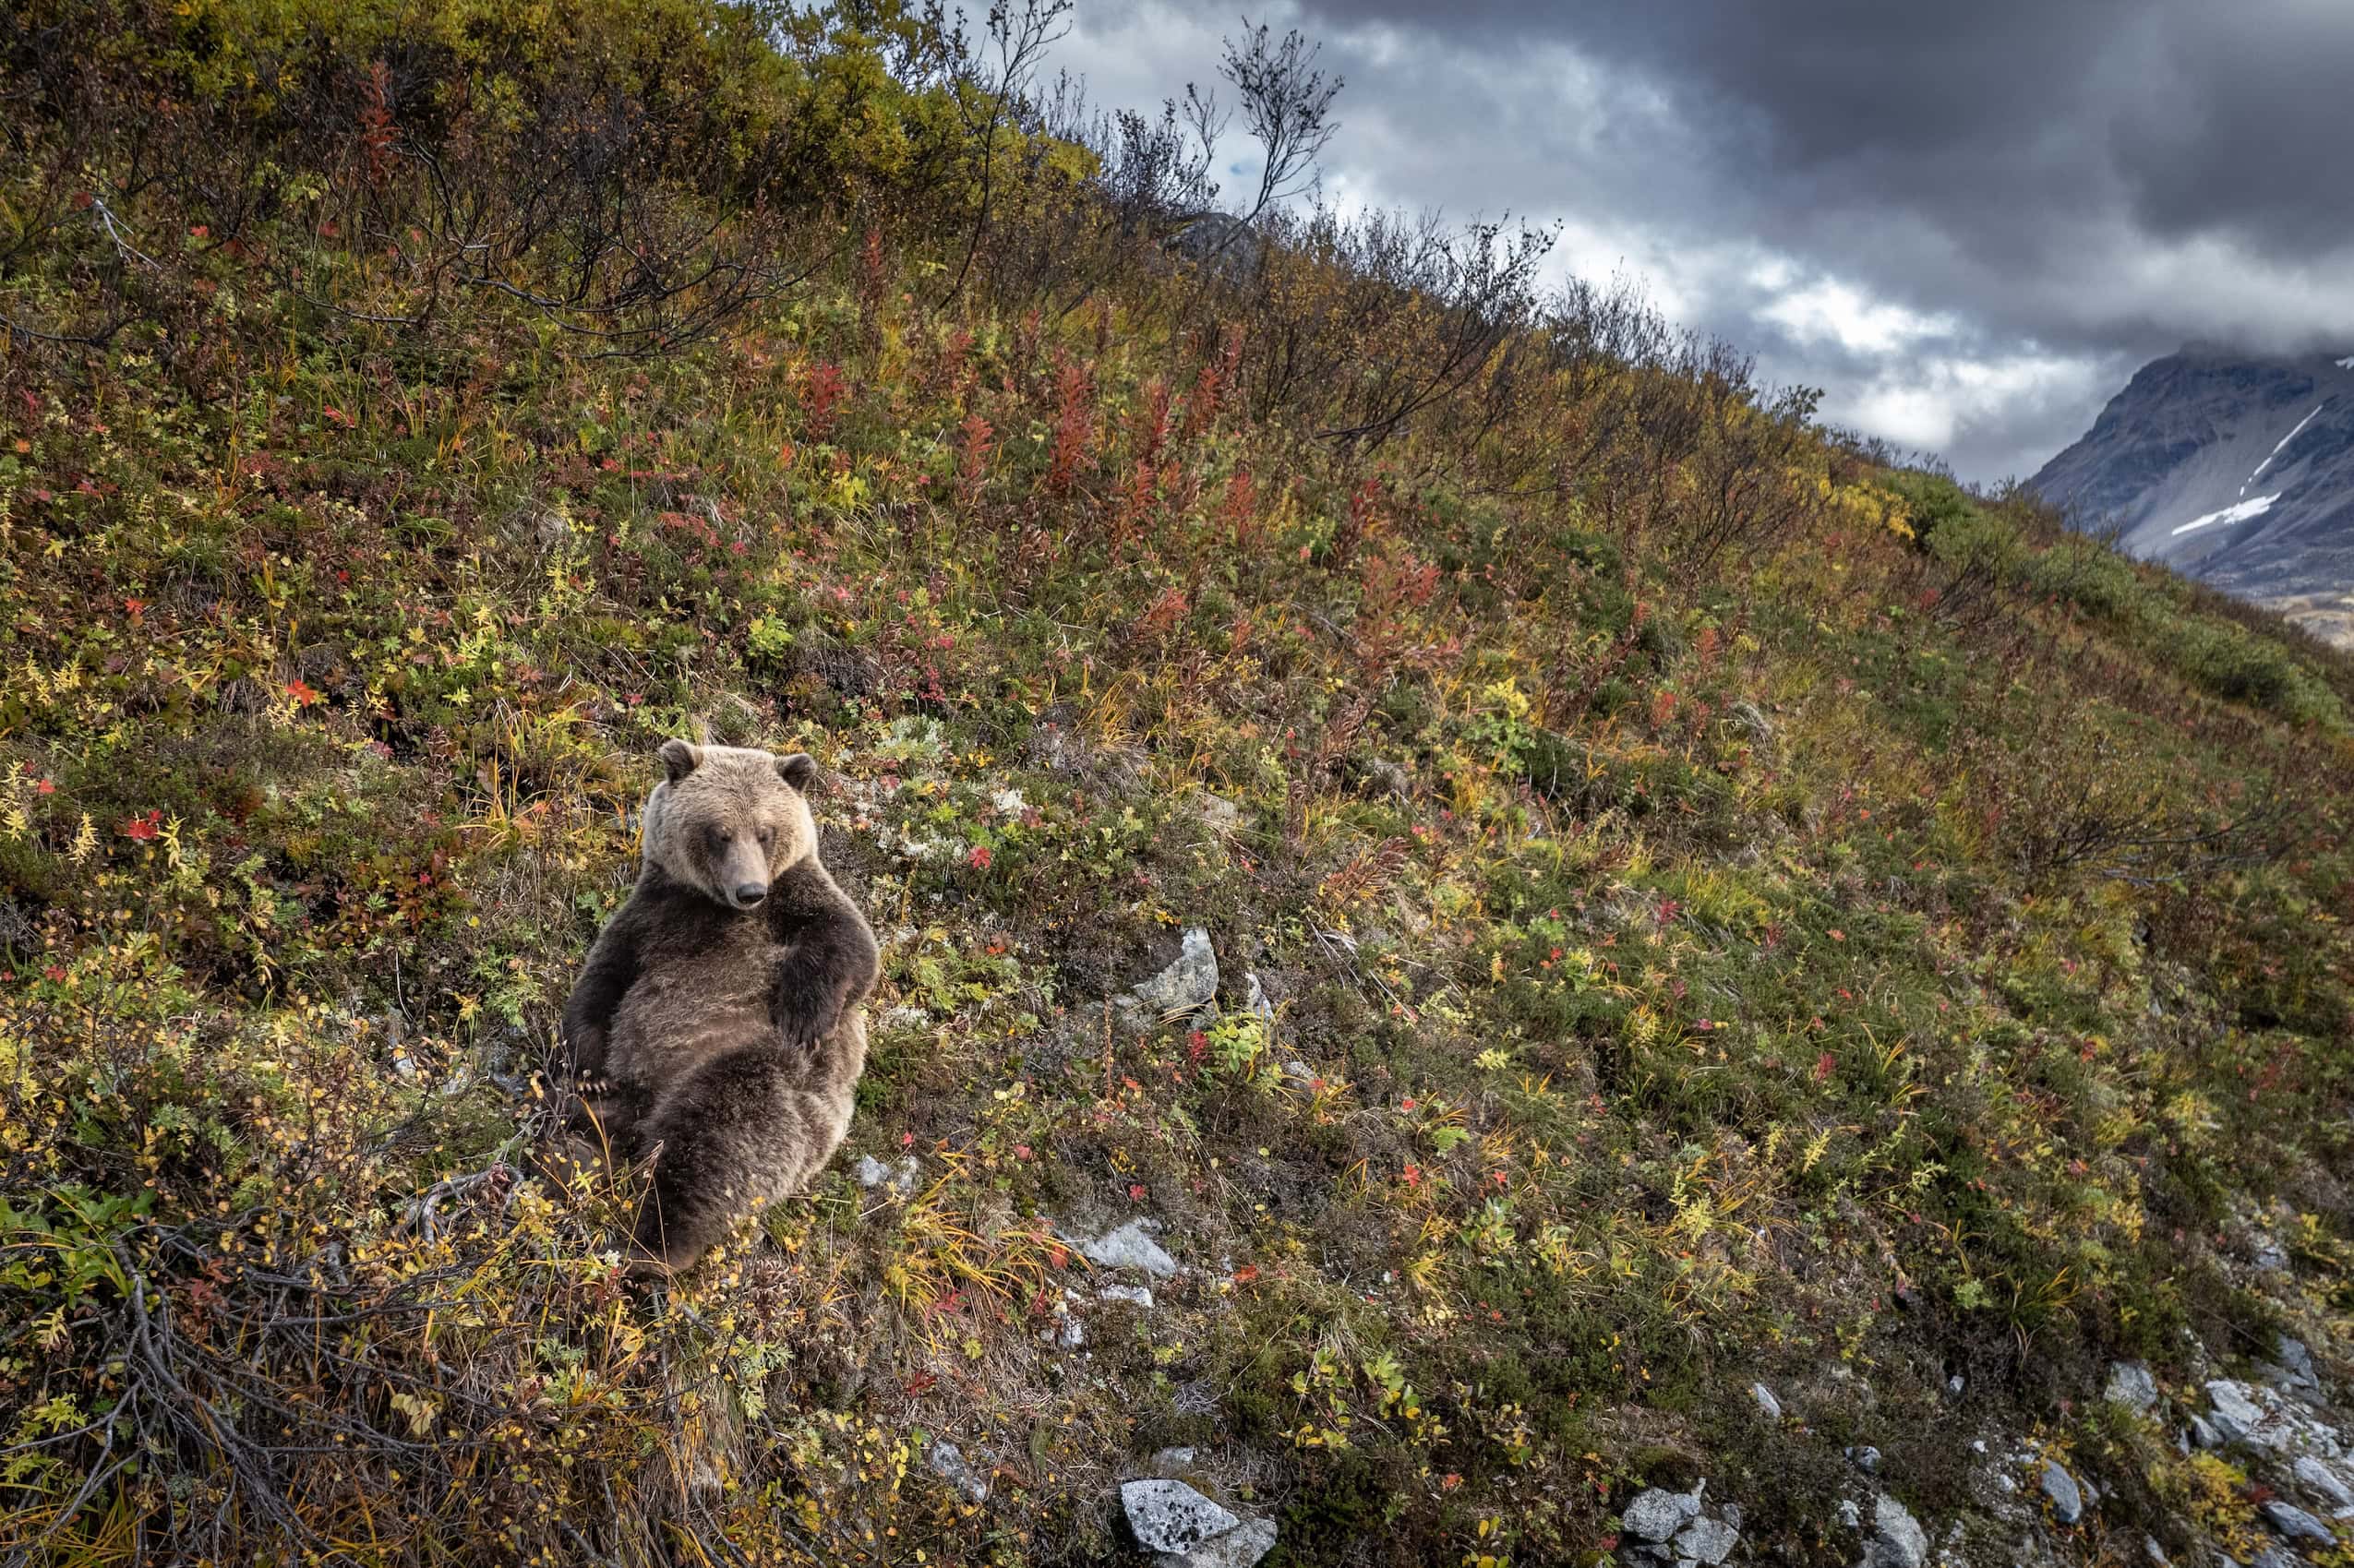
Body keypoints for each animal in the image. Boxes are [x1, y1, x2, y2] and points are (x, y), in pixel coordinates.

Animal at [557, 738, 879, 1271]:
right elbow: (601, 982)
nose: (749, 890)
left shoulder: (795, 896)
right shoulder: (653, 916)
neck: (712, 907)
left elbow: (851, 946)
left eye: (766, 832)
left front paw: (805, 1016)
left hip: (754, 1077)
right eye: (719, 833)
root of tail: (648, 1106)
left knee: (715, 1143)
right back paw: (579, 1130)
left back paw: (653, 1247)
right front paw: (589, 1072)